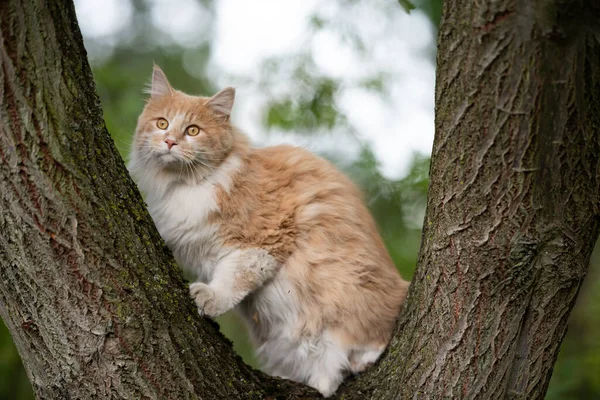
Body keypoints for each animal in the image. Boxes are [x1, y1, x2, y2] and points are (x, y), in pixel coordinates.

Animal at [128, 65, 410, 396]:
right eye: (162, 123)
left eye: (193, 131)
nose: (170, 142)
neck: (185, 186)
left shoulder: (264, 239)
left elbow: (234, 278)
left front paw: (210, 297)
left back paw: (359, 360)